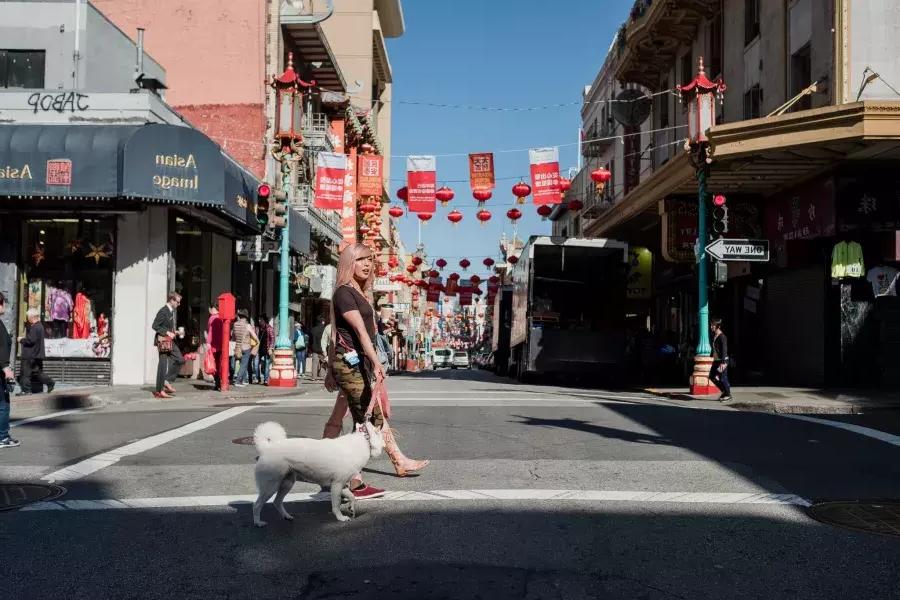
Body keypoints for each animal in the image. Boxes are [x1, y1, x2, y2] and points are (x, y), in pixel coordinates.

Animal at [251, 420, 384, 528]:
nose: (385, 443)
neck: (365, 442)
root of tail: (267, 448)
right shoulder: (336, 485)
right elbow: (336, 505)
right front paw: (340, 518)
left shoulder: (343, 485)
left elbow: (352, 497)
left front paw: (351, 509)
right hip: (271, 486)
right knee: (257, 505)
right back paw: (258, 523)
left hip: (287, 483)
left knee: (277, 502)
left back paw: (286, 516)